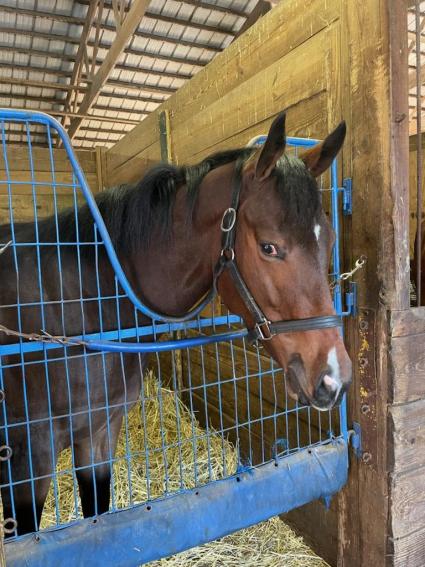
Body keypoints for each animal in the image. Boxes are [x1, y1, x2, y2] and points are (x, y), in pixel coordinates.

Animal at [0, 112, 352, 536]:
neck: (82, 305)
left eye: (329, 240)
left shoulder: (100, 434)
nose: (334, 377)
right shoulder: (29, 455)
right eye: (269, 247)